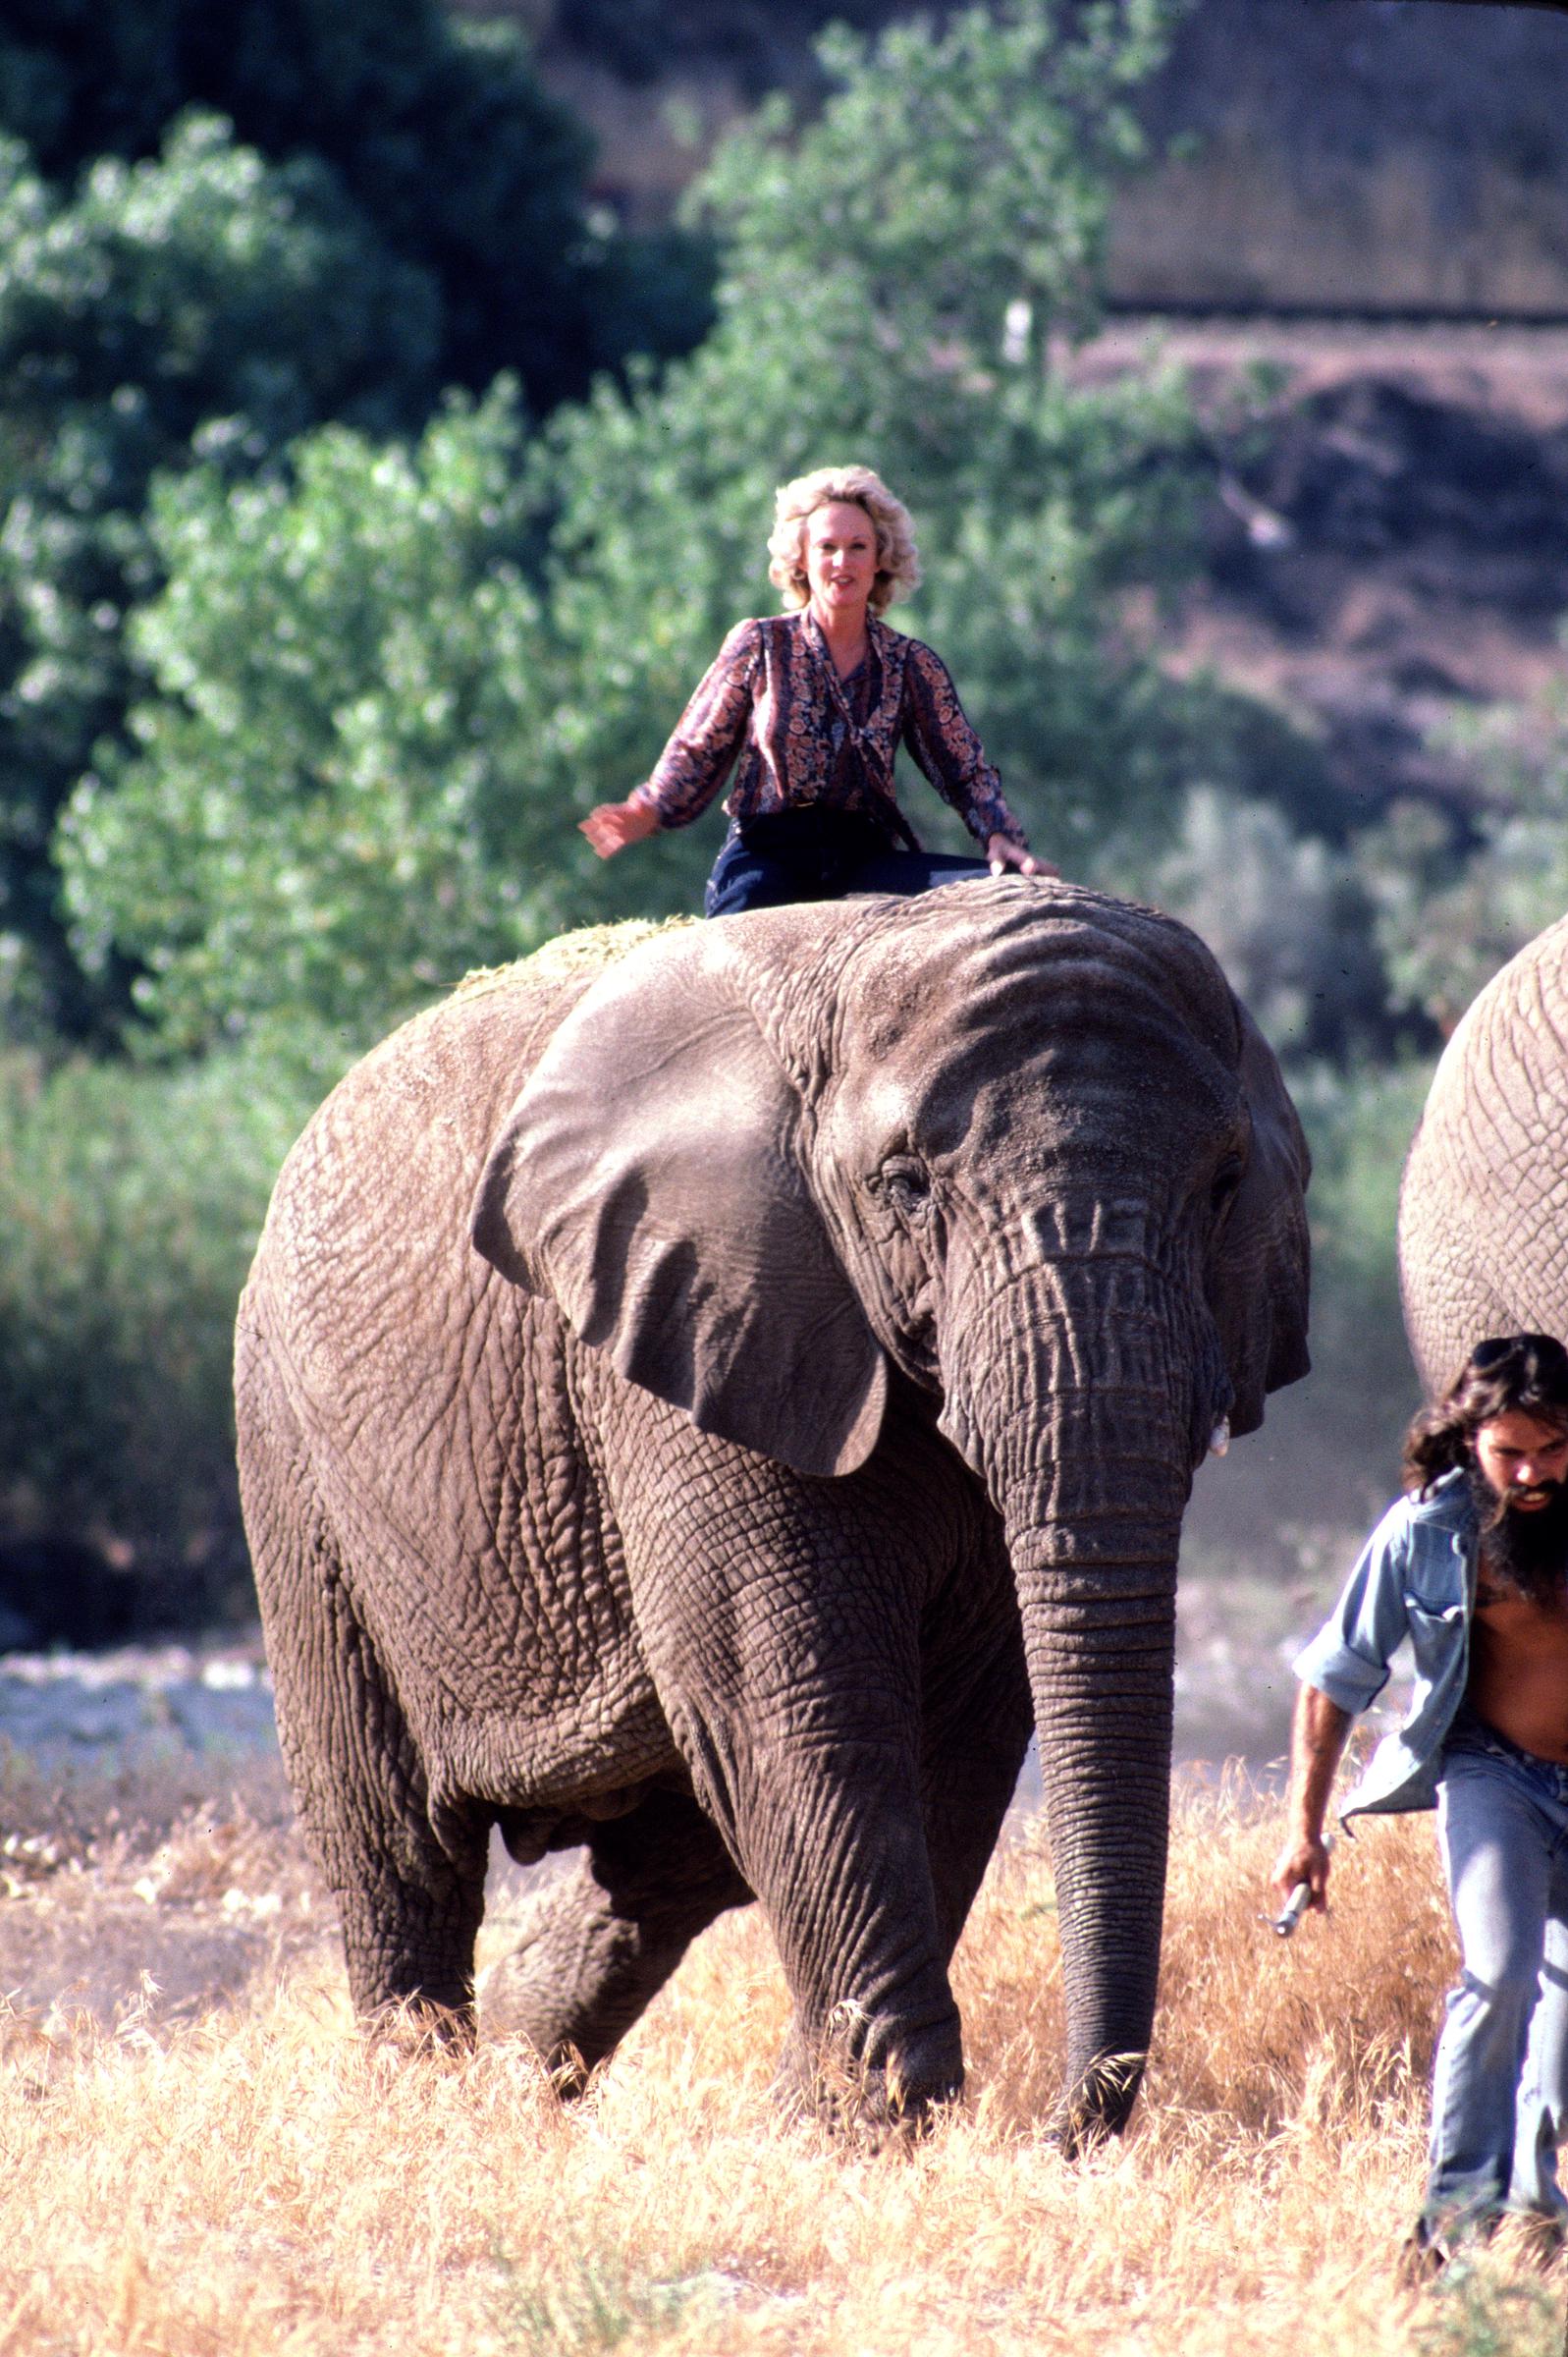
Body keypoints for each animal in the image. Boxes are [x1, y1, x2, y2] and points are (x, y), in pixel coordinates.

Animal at [232, 881, 1311, 2140]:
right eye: (906, 1187)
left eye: (1225, 1190)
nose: (1061, 2136)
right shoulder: (695, 1322)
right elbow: (797, 1688)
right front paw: (868, 2123)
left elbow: (963, 1718)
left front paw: (827, 2115)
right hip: (294, 1460)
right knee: (395, 1844)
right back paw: (424, 2104)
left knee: (668, 1857)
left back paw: (514, 2076)